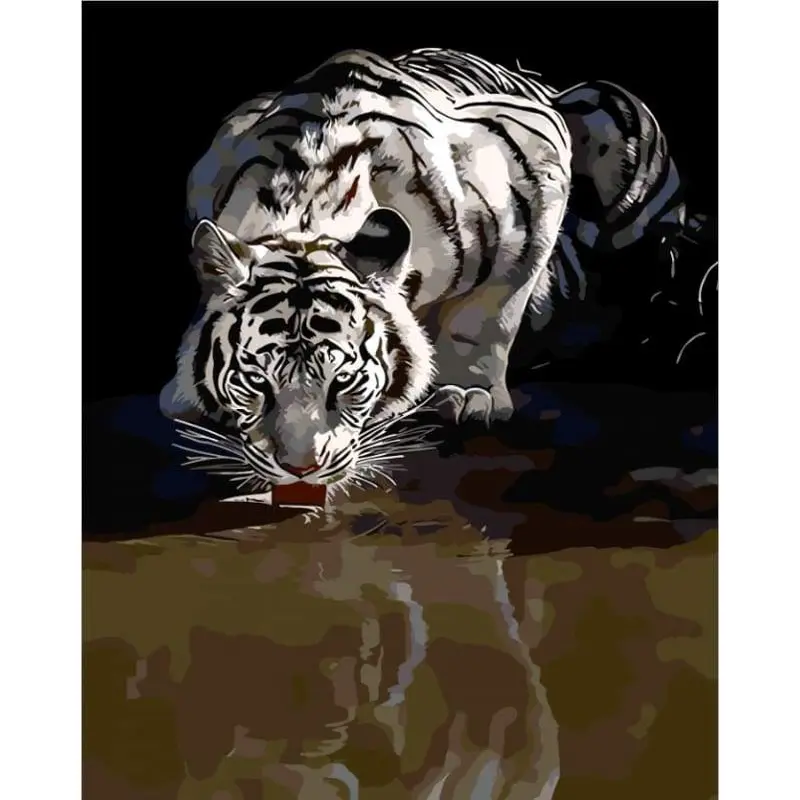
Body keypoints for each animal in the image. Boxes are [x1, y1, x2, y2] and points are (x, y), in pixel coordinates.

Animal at [159, 48, 687, 495]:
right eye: (256, 382)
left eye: (343, 382)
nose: (300, 469)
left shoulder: (537, 166)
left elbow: (489, 315)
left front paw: (469, 394)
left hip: (607, 113)